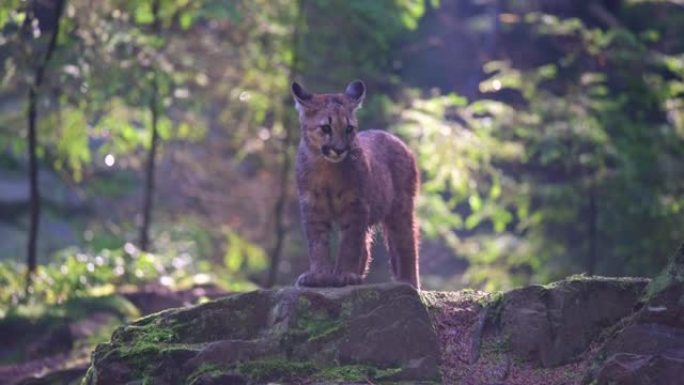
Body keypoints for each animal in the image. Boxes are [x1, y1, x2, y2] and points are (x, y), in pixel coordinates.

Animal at [292, 80, 420, 288]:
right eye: (326, 128)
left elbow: (350, 244)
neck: (326, 167)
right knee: (367, 248)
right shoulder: (312, 207)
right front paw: (319, 275)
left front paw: (344, 274)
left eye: (349, 128)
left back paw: (408, 283)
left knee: (406, 243)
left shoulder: (356, 206)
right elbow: (317, 243)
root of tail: (393, 137)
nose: (339, 149)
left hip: (400, 209)